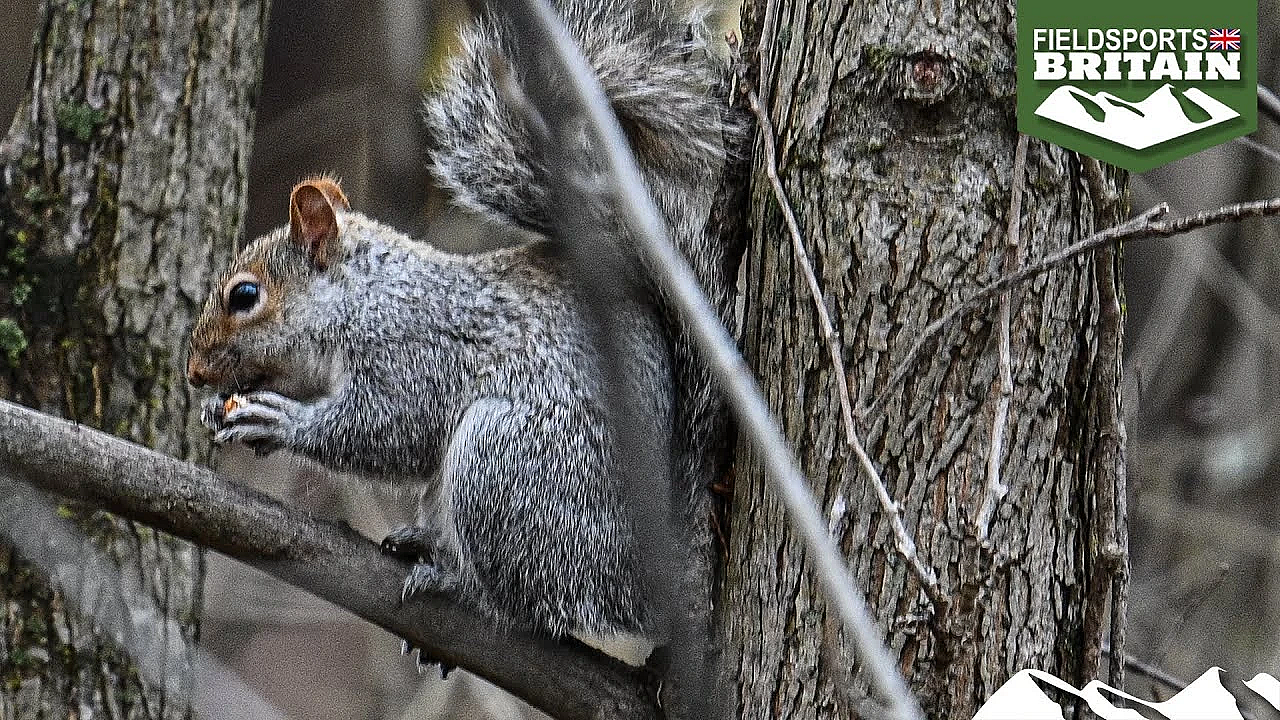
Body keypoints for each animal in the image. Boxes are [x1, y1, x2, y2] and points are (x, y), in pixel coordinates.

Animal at [187, 0, 738, 647]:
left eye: (245, 295)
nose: (194, 373)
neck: (366, 297)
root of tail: (650, 581)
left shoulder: (415, 350)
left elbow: (392, 429)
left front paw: (282, 423)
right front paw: (219, 407)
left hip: (511, 464)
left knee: (532, 602)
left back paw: (457, 582)